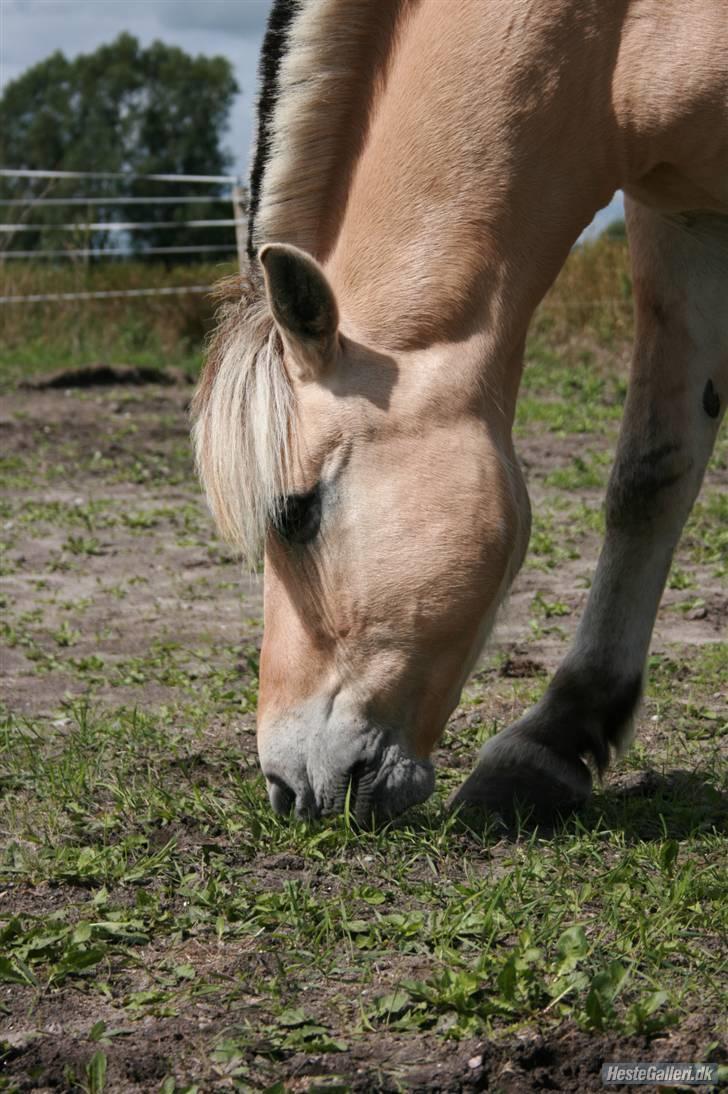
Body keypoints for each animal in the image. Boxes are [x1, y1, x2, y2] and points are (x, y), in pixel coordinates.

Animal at [192, 0, 726, 822]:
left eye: (296, 513)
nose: (288, 788)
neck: (613, 35)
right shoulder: (682, 216)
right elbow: (651, 477)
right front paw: (554, 741)